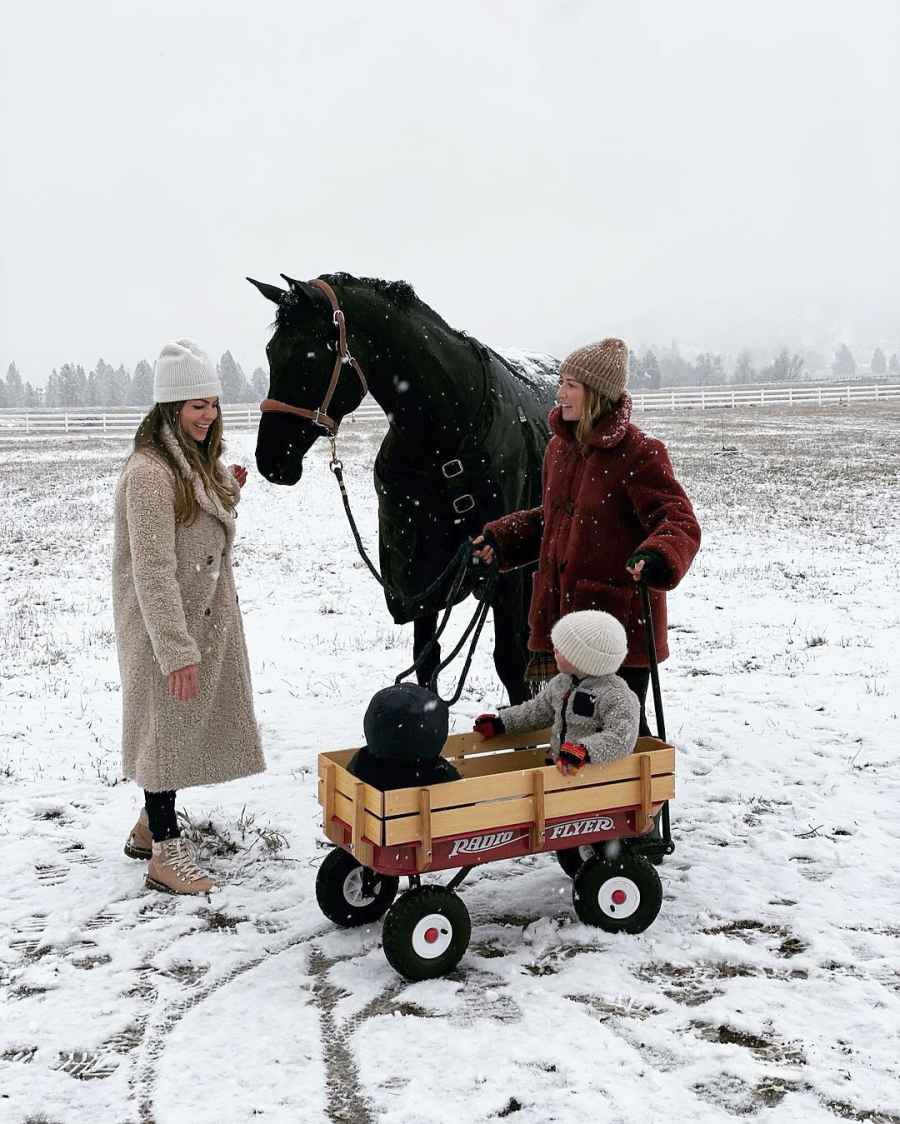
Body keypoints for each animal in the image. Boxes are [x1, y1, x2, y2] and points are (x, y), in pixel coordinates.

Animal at [250, 272, 557, 705]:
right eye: (270, 351)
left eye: (308, 357)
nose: (270, 460)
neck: (445, 442)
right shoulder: (420, 575)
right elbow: (425, 660)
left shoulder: (504, 575)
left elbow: (511, 663)